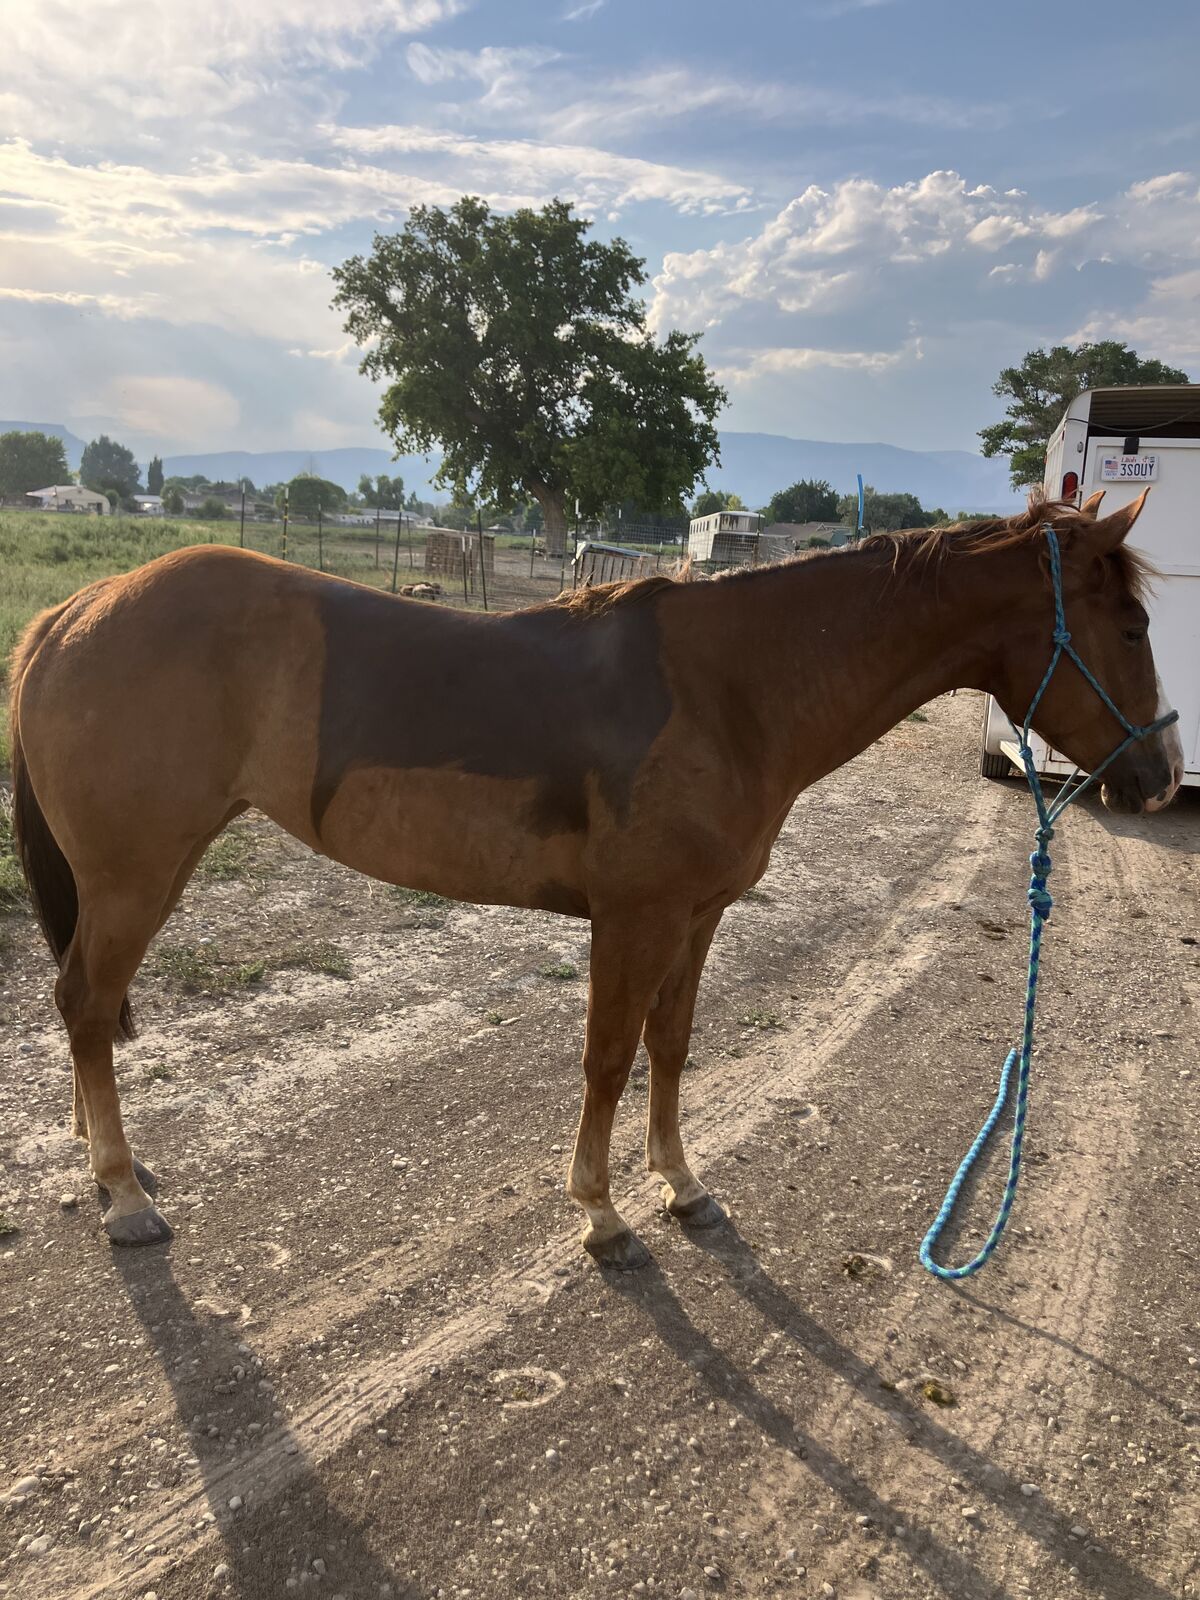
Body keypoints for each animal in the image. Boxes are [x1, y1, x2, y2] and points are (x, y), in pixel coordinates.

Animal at [8, 489, 1182, 1265]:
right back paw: (122, 1195)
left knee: (84, 1005)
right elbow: (608, 1059)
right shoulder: (635, 918)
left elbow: (672, 1048)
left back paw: (106, 1162)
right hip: (137, 876)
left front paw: (682, 1184)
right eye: (1131, 626)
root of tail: (77, 610)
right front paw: (601, 1211)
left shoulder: (698, 916)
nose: (1162, 775)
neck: (733, 689)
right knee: (86, 1003)